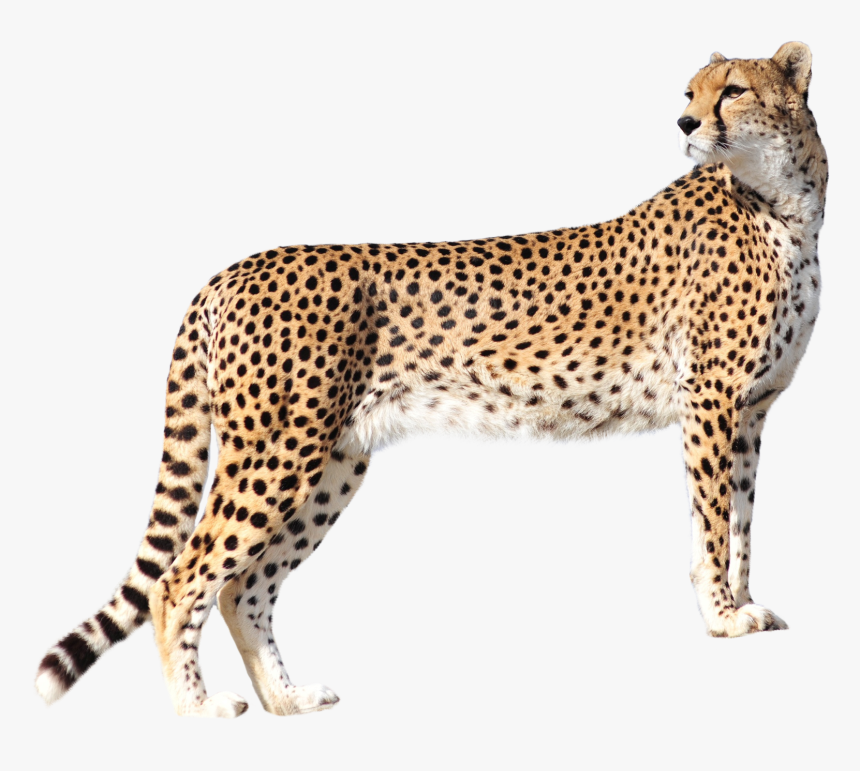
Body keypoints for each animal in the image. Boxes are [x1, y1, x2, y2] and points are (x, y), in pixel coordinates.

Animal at [36, 42, 827, 718]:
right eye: (689, 92)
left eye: (732, 90)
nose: (685, 122)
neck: (785, 201)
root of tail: (232, 270)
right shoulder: (712, 403)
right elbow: (712, 523)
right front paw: (722, 618)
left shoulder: (752, 410)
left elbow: (741, 520)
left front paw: (746, 607)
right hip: (279, 452)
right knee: (181, 578)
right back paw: (198, 709)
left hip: (333, 462)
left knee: (244, 587)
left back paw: (287, 699)